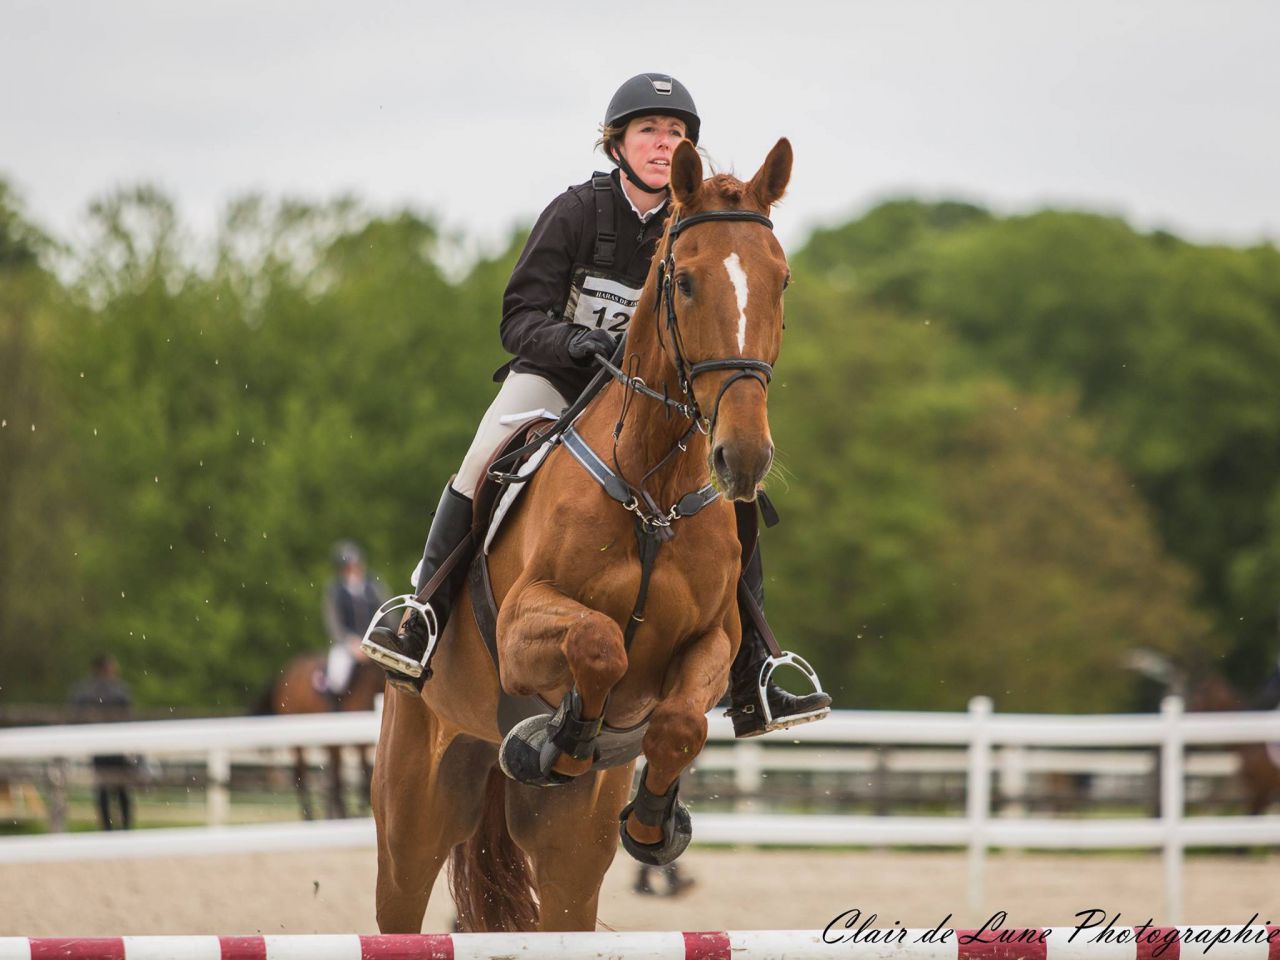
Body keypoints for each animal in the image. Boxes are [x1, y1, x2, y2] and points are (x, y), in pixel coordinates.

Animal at [258, 651, 385, 820]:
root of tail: (286, 674)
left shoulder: (360, 744)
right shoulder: (355, 743)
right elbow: (355, 778)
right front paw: (349, 813)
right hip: (298, 740)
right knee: (301, 775)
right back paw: (310, 815)